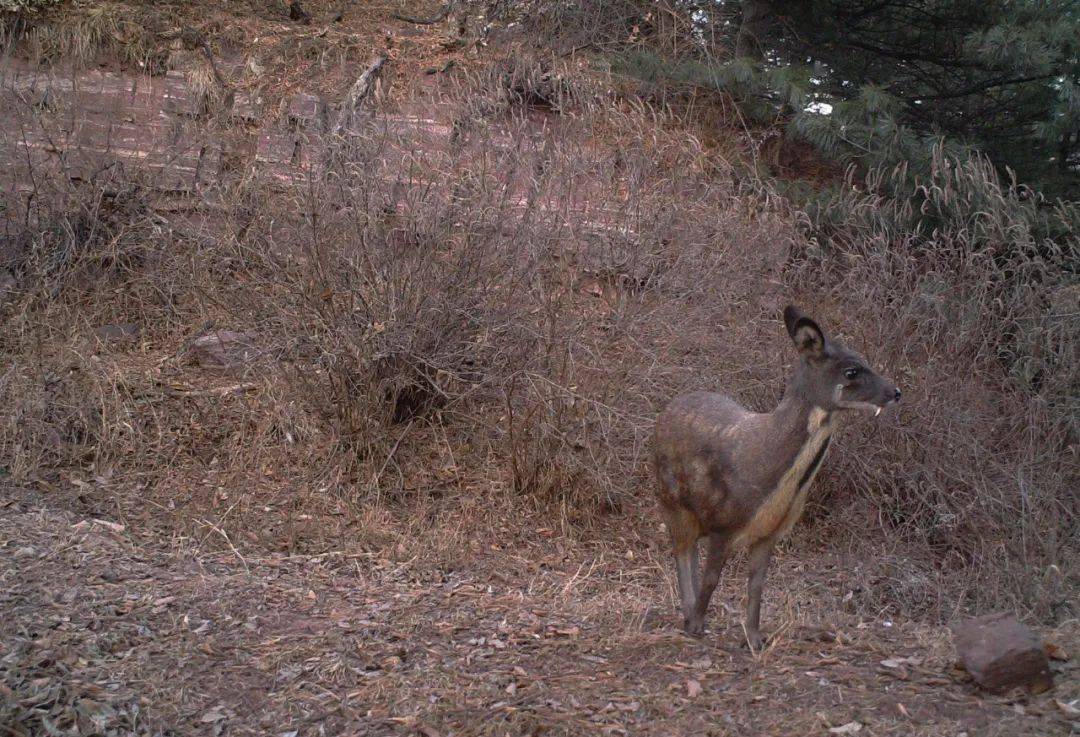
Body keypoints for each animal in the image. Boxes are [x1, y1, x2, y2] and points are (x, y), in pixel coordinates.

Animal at [652, 304, 898, 648]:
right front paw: (697, 626)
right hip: (671, 500)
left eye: (864, 359)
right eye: (851, 371)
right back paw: (689, 615)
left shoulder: (770, 532)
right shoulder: (723, 522)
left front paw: (755, 638)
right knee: (682, 552)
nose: (895, 392)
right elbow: (713, 578)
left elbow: (757, 585)